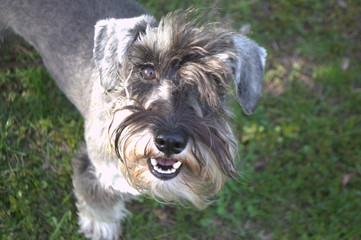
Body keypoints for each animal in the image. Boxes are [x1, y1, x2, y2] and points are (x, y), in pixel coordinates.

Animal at [0, 0, 264, 239]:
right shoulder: (99, 170)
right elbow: (98, 201)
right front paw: (101, 227)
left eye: (215, 82)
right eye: (147, 71)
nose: (169, 142)